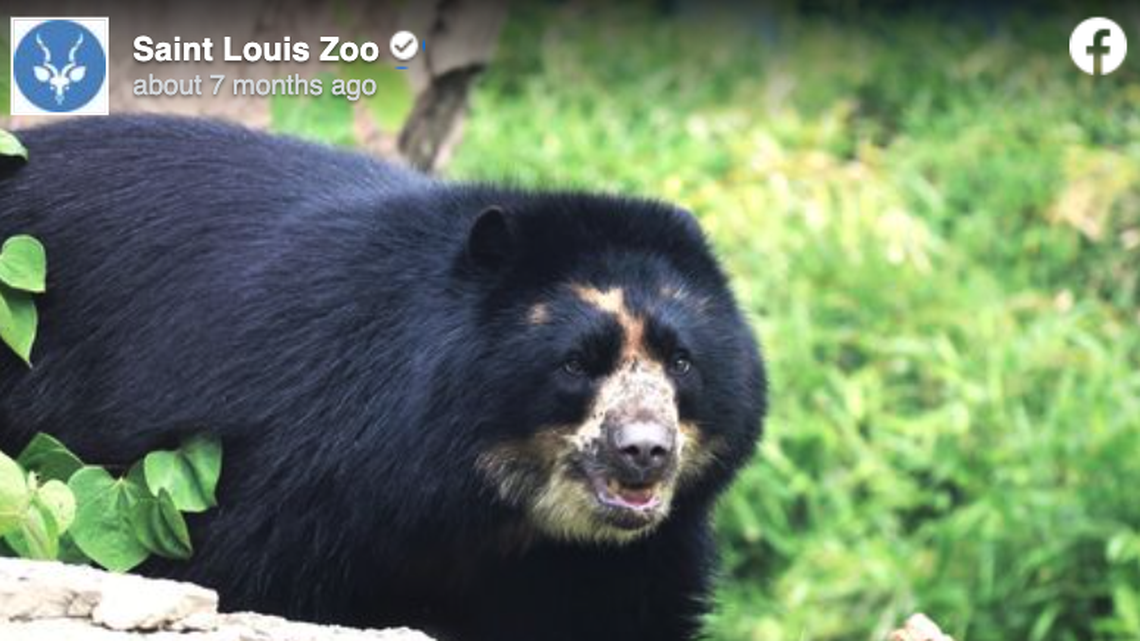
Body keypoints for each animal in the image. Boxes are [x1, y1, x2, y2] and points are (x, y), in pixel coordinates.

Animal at [0, 115, 766, 641]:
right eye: (578, 362)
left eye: (681, 361)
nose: (645, 451)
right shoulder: (305, 470)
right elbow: (253, 575)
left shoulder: (630, 554)